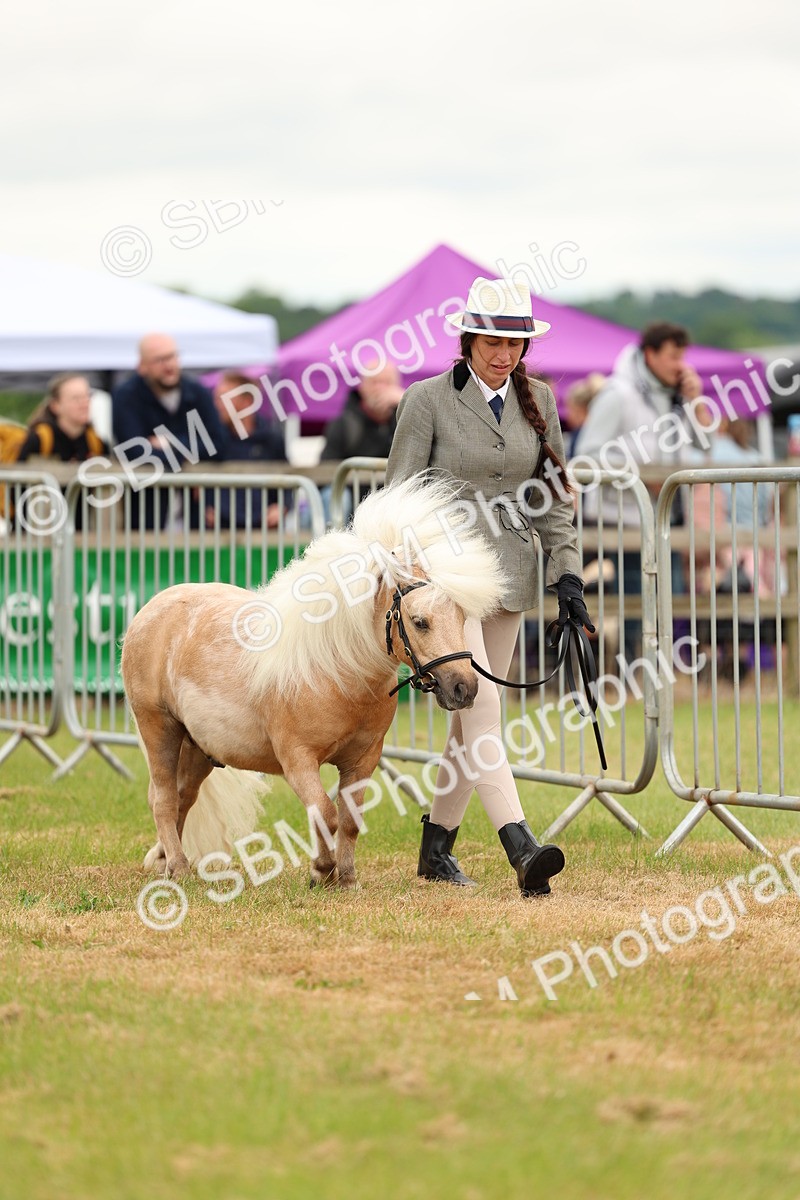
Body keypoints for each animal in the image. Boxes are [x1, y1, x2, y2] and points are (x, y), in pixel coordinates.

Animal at [121, 474, 506, 889]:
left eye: (461, 617)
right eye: (421, 622)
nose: (464, 688)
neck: (339, 674)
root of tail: (151, 609)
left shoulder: (363, 761)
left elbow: (350, 820)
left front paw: (347, 878)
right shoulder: (298, 760)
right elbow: (325, 812)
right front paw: (321, 869)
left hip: (197, 747)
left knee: (182, 797)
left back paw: (164, 860)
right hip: (159, 729)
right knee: (162, 799)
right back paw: (177, 867)